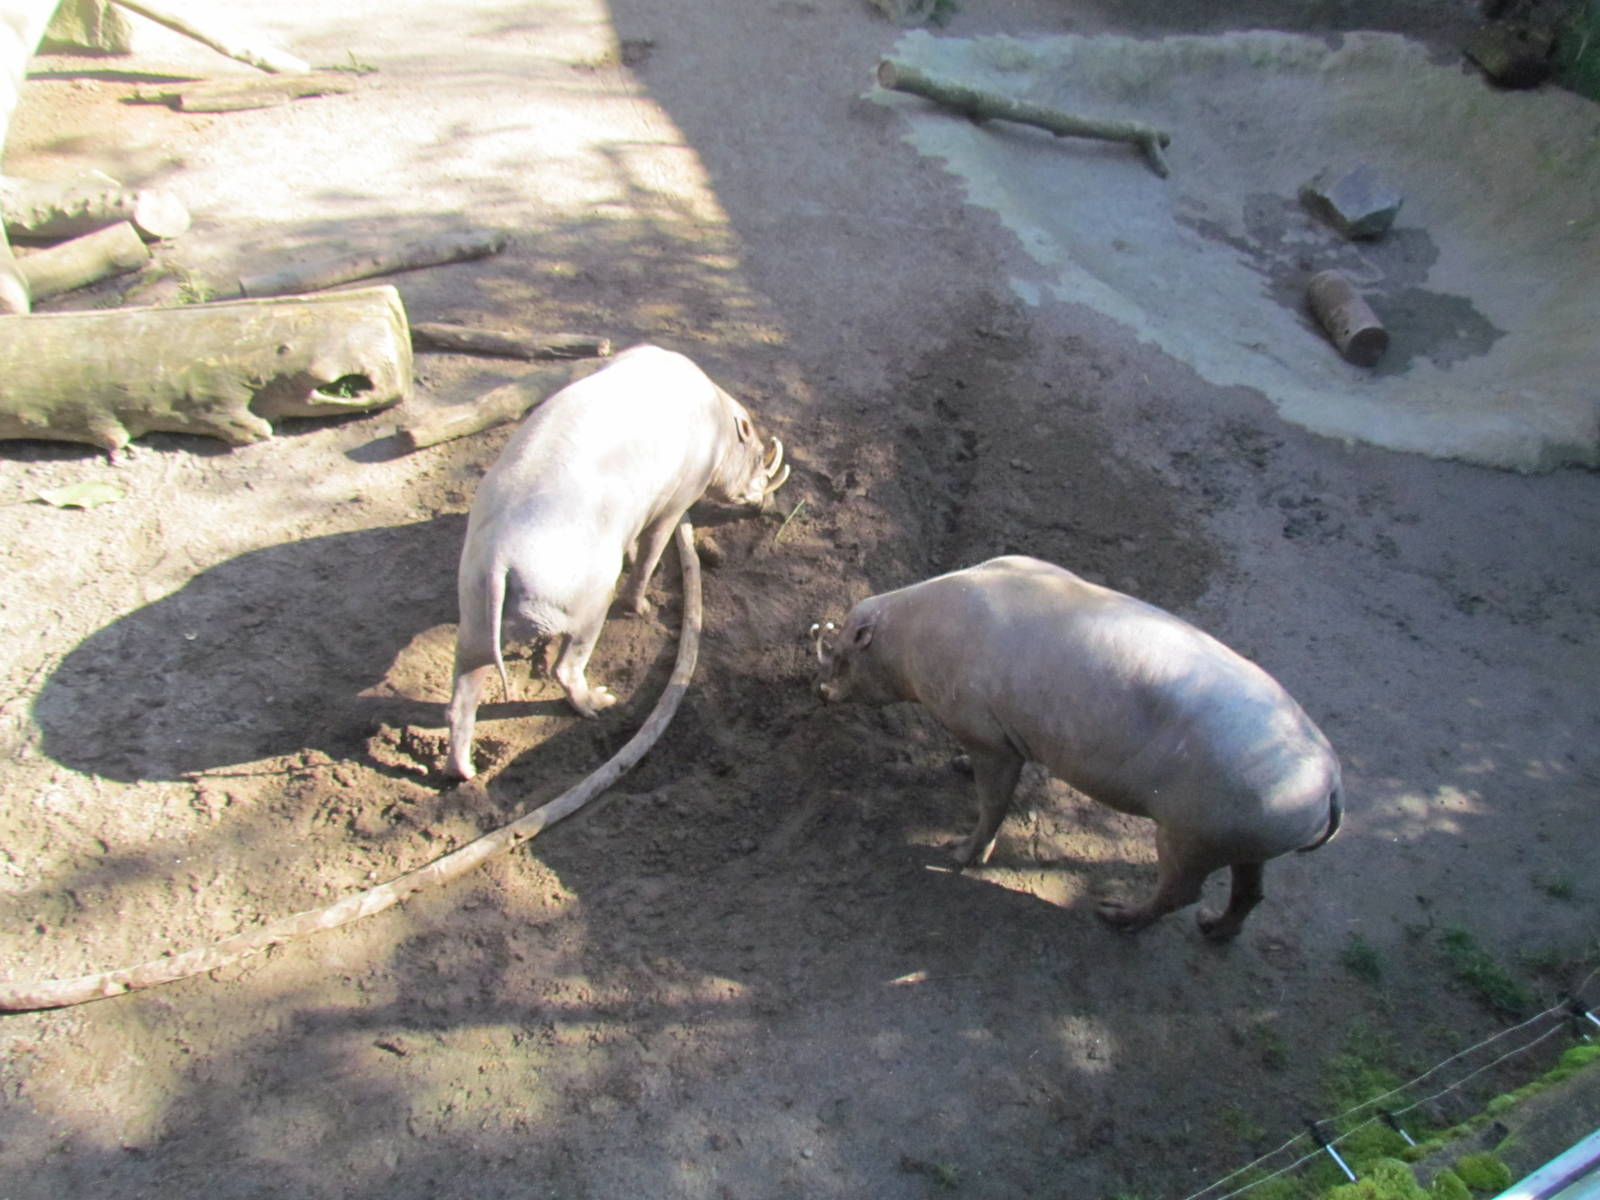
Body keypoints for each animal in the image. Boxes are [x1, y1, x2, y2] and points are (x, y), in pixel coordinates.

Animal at [446, 344, 789, 779]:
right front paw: (642, 608)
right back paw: (600, 703)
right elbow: (653, 547)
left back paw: (465, 774)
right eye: (761, 460)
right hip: (583, 599)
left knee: (464, 686)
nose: (770, 507)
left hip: (472, 599)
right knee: (566, 665)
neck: (723, 430)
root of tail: (499, 559)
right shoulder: (678, 498)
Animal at [813, 555, 1342, 940]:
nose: (819, 693)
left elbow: (993, 801)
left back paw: (1116, 917)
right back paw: (1214, 931)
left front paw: (960, 854)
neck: (905, 642)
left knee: (1181, 893)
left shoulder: (989, 735)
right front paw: (957, 766)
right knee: (1249, 892)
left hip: (1194, 837)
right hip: (1247, 841)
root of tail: (1331, 781)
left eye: (839, 658)